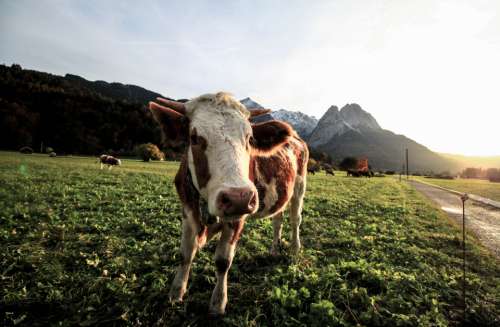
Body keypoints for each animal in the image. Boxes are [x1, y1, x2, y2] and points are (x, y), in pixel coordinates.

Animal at [147, 93, 308, 318]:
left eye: (250, 139)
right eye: (194, 138)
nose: (238, 197)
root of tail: (296, 138)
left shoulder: (237, 217)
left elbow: (223, 261)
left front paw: (218, 303)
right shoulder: (187, 209)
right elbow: (185, 253)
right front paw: (176, 292)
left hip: (300, 186)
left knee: (295, 220)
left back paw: (294, 248)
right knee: (278, 219)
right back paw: (274, 249)